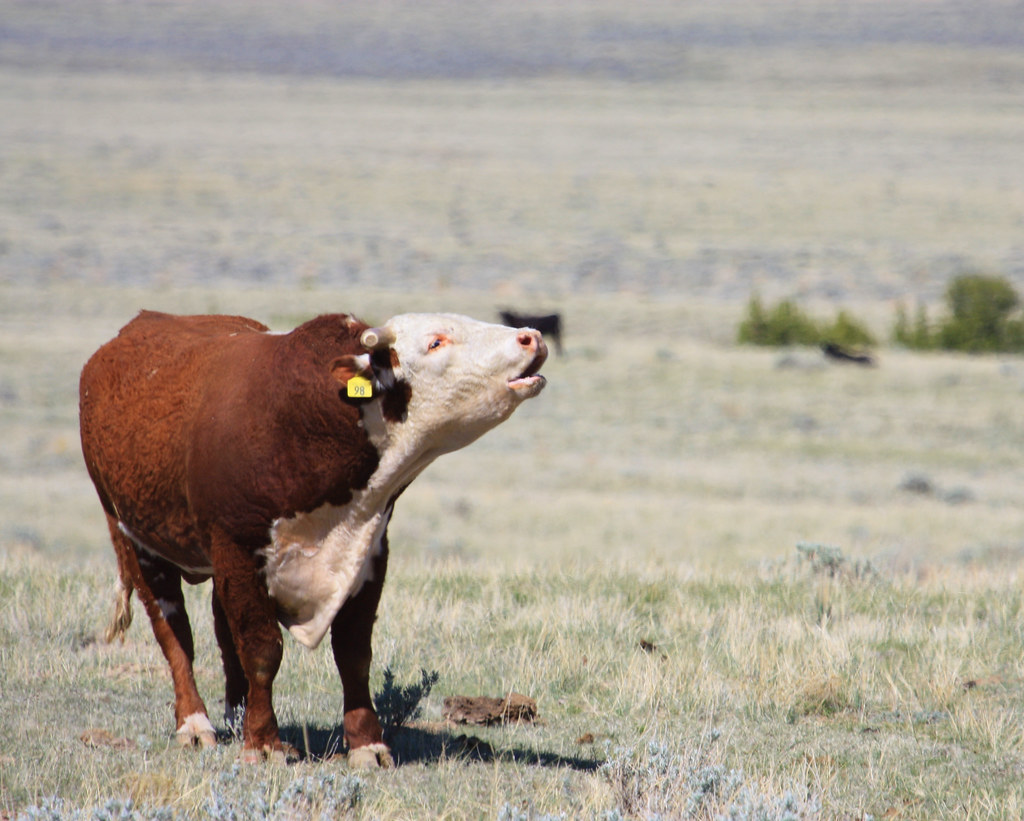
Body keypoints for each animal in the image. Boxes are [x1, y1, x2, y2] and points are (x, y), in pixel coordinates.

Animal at [79, 309, 547, 767]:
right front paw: (264, 743)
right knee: (174, 632)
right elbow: (262, 649)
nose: (532, 337)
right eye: (435, 342)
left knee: (222, 629)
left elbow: (353, 655)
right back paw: (195, 724)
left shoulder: (369, 552)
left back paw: (236, 715)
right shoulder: (237, 550)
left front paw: (366, 743)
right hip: (133, 538)